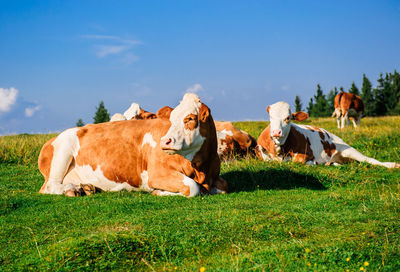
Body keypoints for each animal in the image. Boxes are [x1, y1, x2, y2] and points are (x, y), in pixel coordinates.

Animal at [39, 93, 231, 198]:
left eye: (190, 118)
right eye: (171, 118)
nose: (165, 141)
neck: (201, 168)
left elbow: (224, 187)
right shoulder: (157, 174)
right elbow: (192, 187)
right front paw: (158, 192)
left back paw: (84, 188)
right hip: (63, 151)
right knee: (49, 186)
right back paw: (72, 190)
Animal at [256, 100, 400, 168]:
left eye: (288, 118)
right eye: (270, 117)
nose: (276, 132)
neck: (279, 149)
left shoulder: (306, 153)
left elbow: (298, 161)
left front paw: (311, 162)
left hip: (348, 149)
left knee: (369, 159)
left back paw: (392, 165)